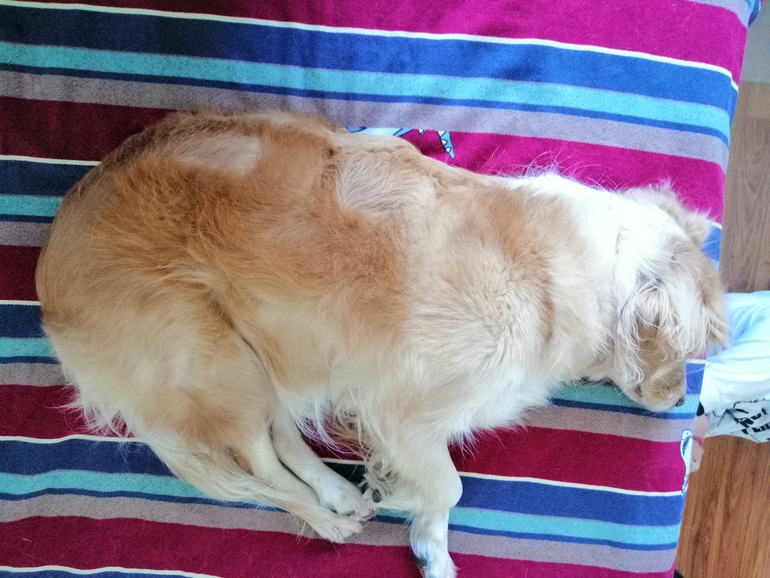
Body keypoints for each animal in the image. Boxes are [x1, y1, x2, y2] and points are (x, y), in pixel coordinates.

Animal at [36, 110, 727, 578]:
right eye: (688, 354)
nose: (678, 407)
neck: (605, 269)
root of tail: (48, 277)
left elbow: (438, 491)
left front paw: (429, 543)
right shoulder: (403, 410)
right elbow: (448, 485)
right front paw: (412, 510)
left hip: (263, 354)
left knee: (279, 436)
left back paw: (338, 493)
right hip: (215, 356)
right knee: (258, 461)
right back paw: (327, 518)